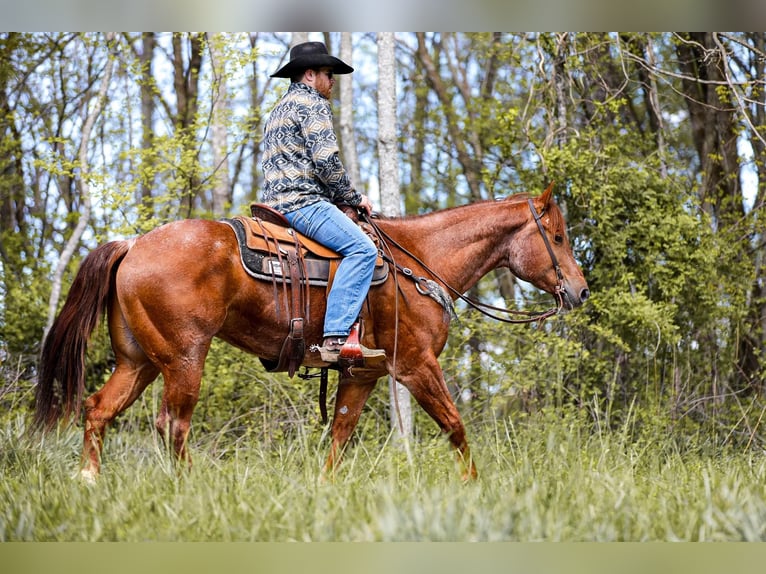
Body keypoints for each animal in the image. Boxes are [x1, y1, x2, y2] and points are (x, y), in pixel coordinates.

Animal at [33, 184, 592, 482]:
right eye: (558, 236)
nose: (581, 291)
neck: (420, 261)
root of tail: (132, 244)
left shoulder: (362, 374)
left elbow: (340, 436)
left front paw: (326, 489)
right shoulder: (416, 365)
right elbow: (455, 426)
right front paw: (474, 486)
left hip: (139, 362)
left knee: (98, 409)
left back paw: (88, 480)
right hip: (184, 359)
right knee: (171, 425)